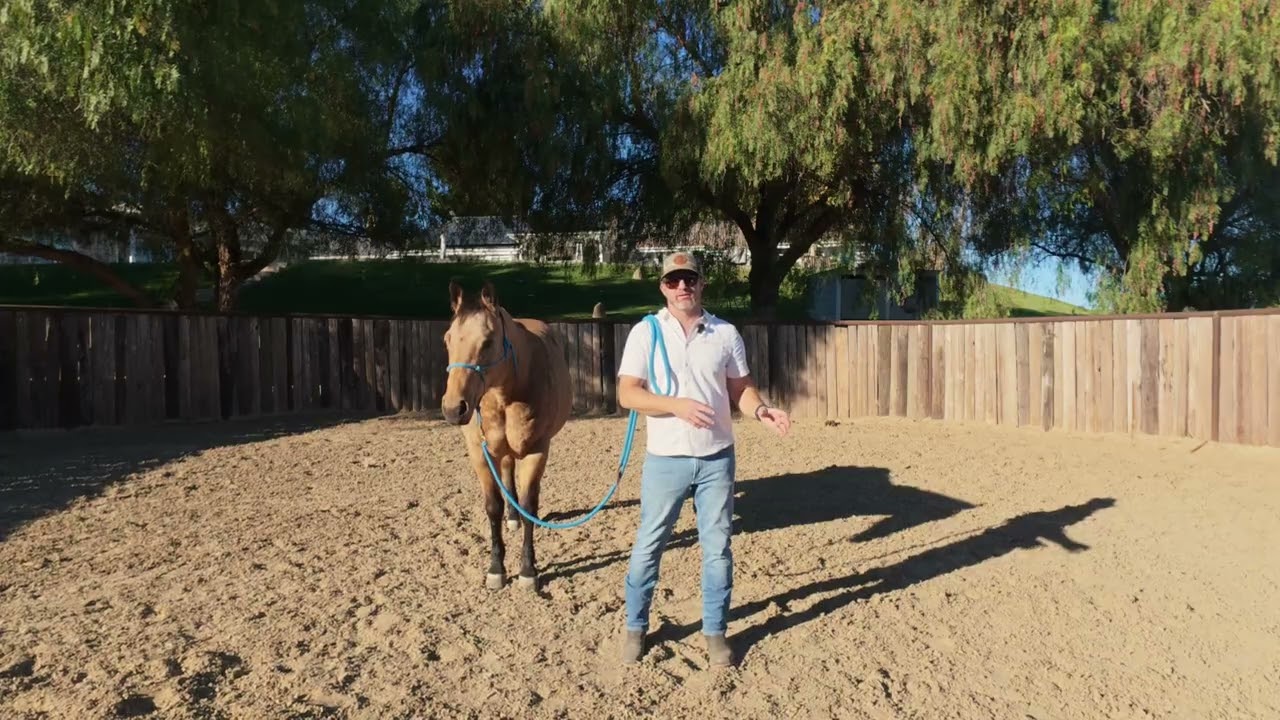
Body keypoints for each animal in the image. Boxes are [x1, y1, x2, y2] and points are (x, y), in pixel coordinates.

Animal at [441, 280, 573, 591]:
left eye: (488, 341)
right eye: (447, 339)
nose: (453, 409)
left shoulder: (537, 450)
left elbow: (529, 504)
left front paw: (527, 570)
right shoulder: (480, 453)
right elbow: (493, 507)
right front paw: (496, 569)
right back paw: (512, 519)